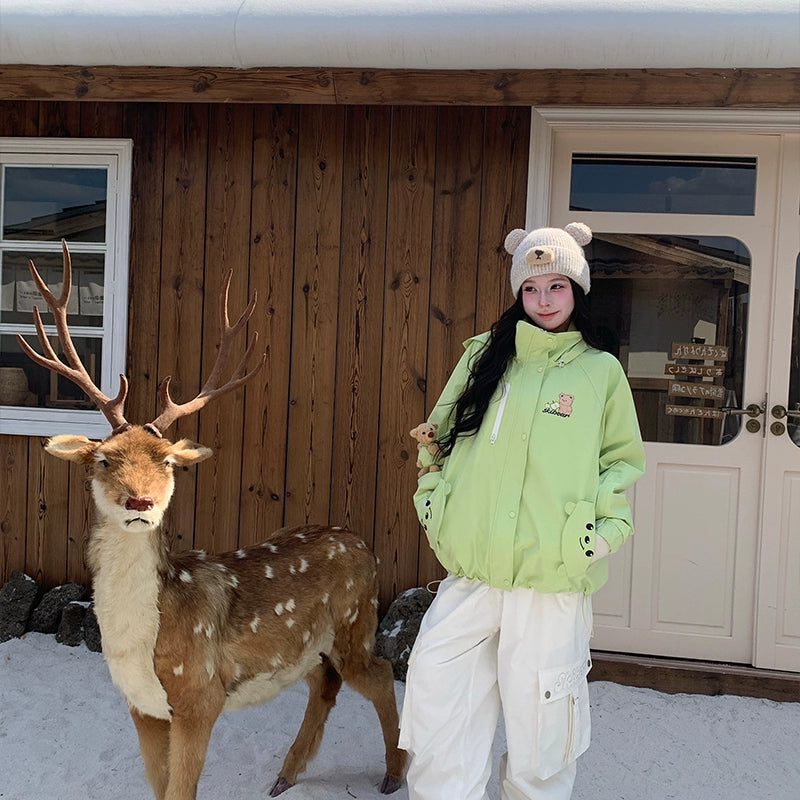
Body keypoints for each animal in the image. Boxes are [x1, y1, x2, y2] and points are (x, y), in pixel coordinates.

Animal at [18, 240, 406, 800]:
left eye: (167, 462)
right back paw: (285, 776)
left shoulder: (200, 693)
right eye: (104, 459)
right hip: (311, 648)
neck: (143, 643)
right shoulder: (142, 706)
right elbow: (158, 788)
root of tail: (362, 542)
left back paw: (394, 772)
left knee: (381, 671)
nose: (140, 502)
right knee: (325, 683)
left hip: (357, 622)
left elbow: (181, 790)